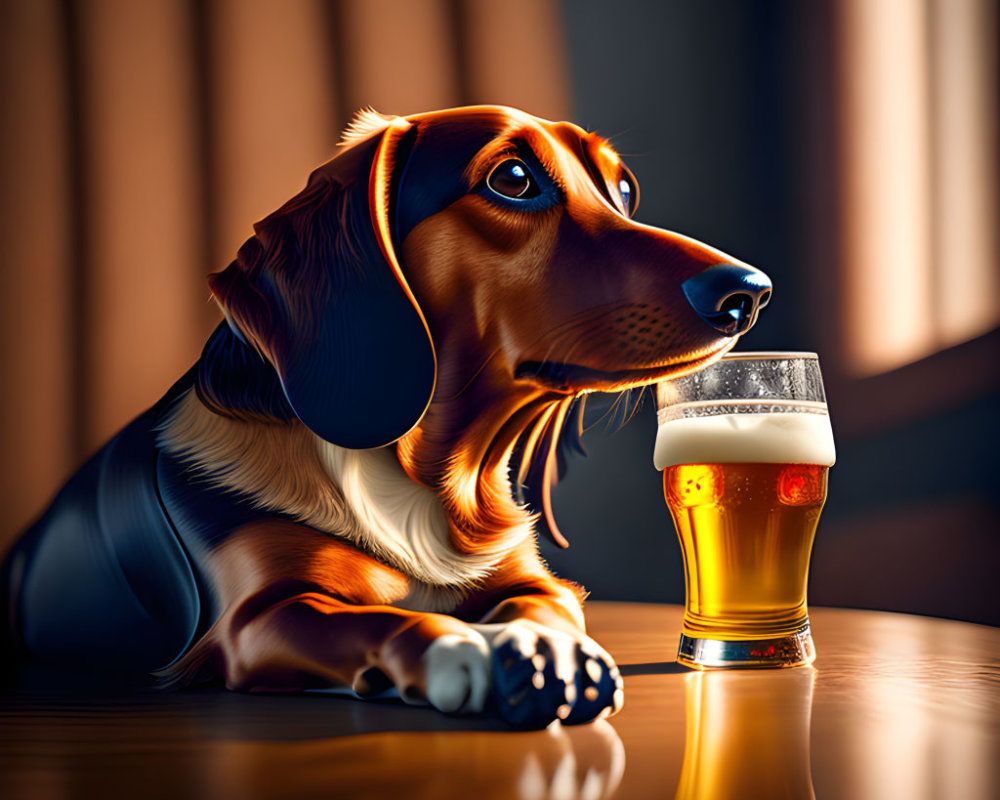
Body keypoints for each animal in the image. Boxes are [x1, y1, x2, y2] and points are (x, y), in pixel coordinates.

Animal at [1, 104, 764, 724]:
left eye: (623, 188)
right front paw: (456, 647)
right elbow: (377, 623)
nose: (748, 292)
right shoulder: (260, 616)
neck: (426, 479)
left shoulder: (537, 579)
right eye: (514, 178)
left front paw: (544, 647)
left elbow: (538, 606)